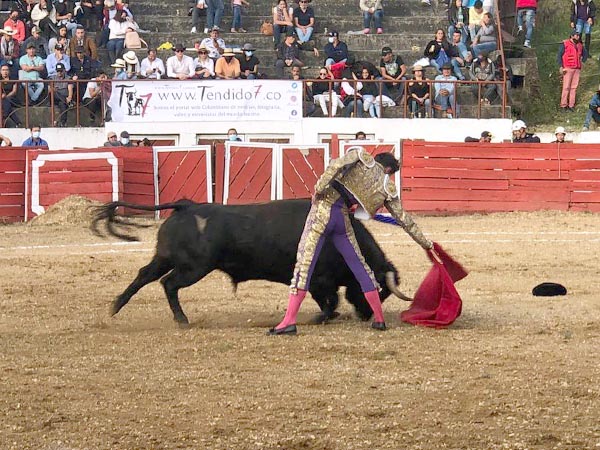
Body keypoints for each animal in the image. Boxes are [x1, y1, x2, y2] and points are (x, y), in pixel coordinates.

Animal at [91, 199, 410, 326]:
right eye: (380, 289)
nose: (367, 315)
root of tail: (187, 205)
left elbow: (330, 302)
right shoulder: (320, 280)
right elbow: (329, 303)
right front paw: (320, 318)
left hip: (165, 256)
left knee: (144, 275)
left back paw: (114, 307)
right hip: (194, 267)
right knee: (168, 284)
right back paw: (182, 320)